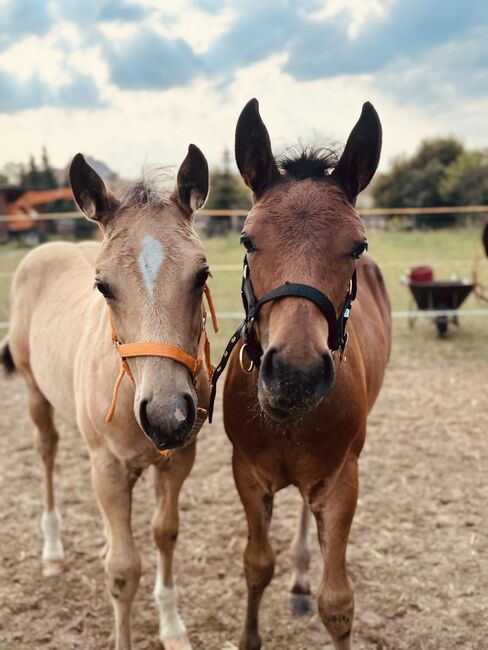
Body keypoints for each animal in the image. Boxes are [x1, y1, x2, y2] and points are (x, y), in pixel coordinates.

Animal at [0, 147, 214, 648]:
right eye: (103, 286)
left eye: (202, 274)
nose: (167, 415)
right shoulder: (111, 465)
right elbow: (122, 571)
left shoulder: (178, 460)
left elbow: (164, 533)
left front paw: (172, 627)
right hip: (36, 394)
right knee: (47, 453)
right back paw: (53, 551)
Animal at [219, 98, 390, 644]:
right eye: (247, 240)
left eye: (357, 246)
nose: (295, 374)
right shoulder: (247, 475)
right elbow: (256, 566)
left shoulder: (341, 482)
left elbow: (337, 603)